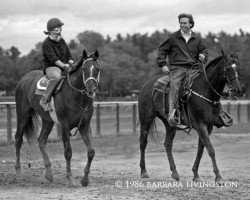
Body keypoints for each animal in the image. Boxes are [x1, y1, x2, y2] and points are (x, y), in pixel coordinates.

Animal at [14, 49, 100, 187]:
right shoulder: (64, 124)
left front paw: (85, 180)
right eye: (83, 69)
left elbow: (91, 151)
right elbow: (68, 152)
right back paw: (18, 172)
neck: (76, 95)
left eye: (97, 68)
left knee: (41, 140)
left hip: (47, 121)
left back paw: (49, 174)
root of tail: (24, 79)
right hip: (23, 115)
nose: (91, 89)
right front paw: (70, 178)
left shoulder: (85, 125)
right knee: (18, 139)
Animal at [139, 50, 242, 184]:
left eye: (238, 68)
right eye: (228, 68)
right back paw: (143, 171)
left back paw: (174, 172)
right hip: (146, 119)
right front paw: (218, 177)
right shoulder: (200, 125)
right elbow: (211, 149)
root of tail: (146, 85)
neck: (205, 91)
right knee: (143, 142)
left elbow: (201, 150)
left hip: (170, 124)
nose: (237, 90)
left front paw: (196, 174)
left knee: (167, 144)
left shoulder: (208, 126)